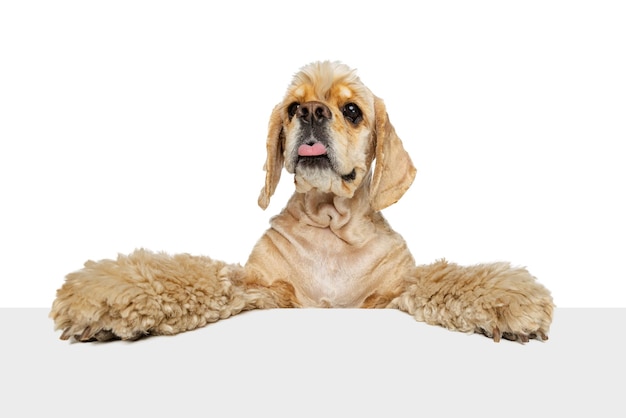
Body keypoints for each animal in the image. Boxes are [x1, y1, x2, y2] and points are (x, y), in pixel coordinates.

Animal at [51, 61, 552, 342]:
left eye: (352, 111)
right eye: (294, 107)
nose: (311, 112)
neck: (330, 225)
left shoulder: (391, 292)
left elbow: (443, 279)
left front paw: (511, 304)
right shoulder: (258, 287)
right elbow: (194, 275)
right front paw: (101, 298)